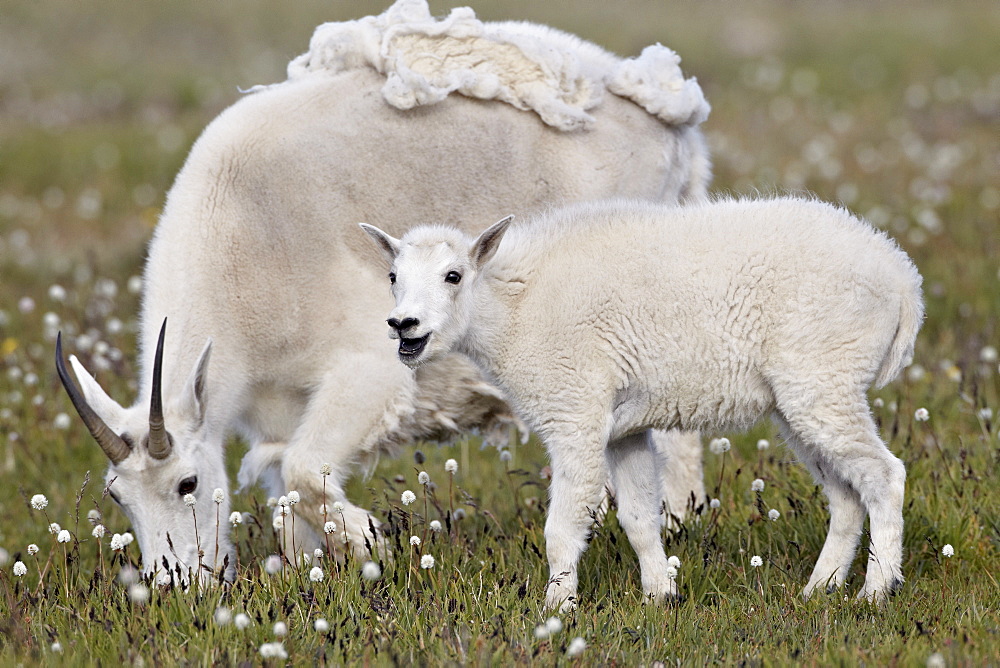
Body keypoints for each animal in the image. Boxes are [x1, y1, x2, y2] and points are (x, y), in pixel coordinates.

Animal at [54, 0, 712, 580]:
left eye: (187, 484)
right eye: (118, 496)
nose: (176, 584)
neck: (246, 243)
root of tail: (673, 124)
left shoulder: (368, 369)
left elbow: (303, 472)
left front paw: (374, 543)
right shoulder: (278, 408)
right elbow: (287, 497)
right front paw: (311, 572)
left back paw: (678, 518)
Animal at [364, 196, 924, 608]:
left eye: (454, 276)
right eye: (392, 277)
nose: (404, 325)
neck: (513, 309)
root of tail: (902, 279)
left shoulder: (575, 413)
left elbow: (562, 527)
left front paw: (556, 609)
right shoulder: (622, 429)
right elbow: (638, 518)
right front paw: (661, 596)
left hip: (824, 376)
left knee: (884, 476)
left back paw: (877, 591)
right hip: (804, 397)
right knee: (845, 494)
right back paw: (820, 589)